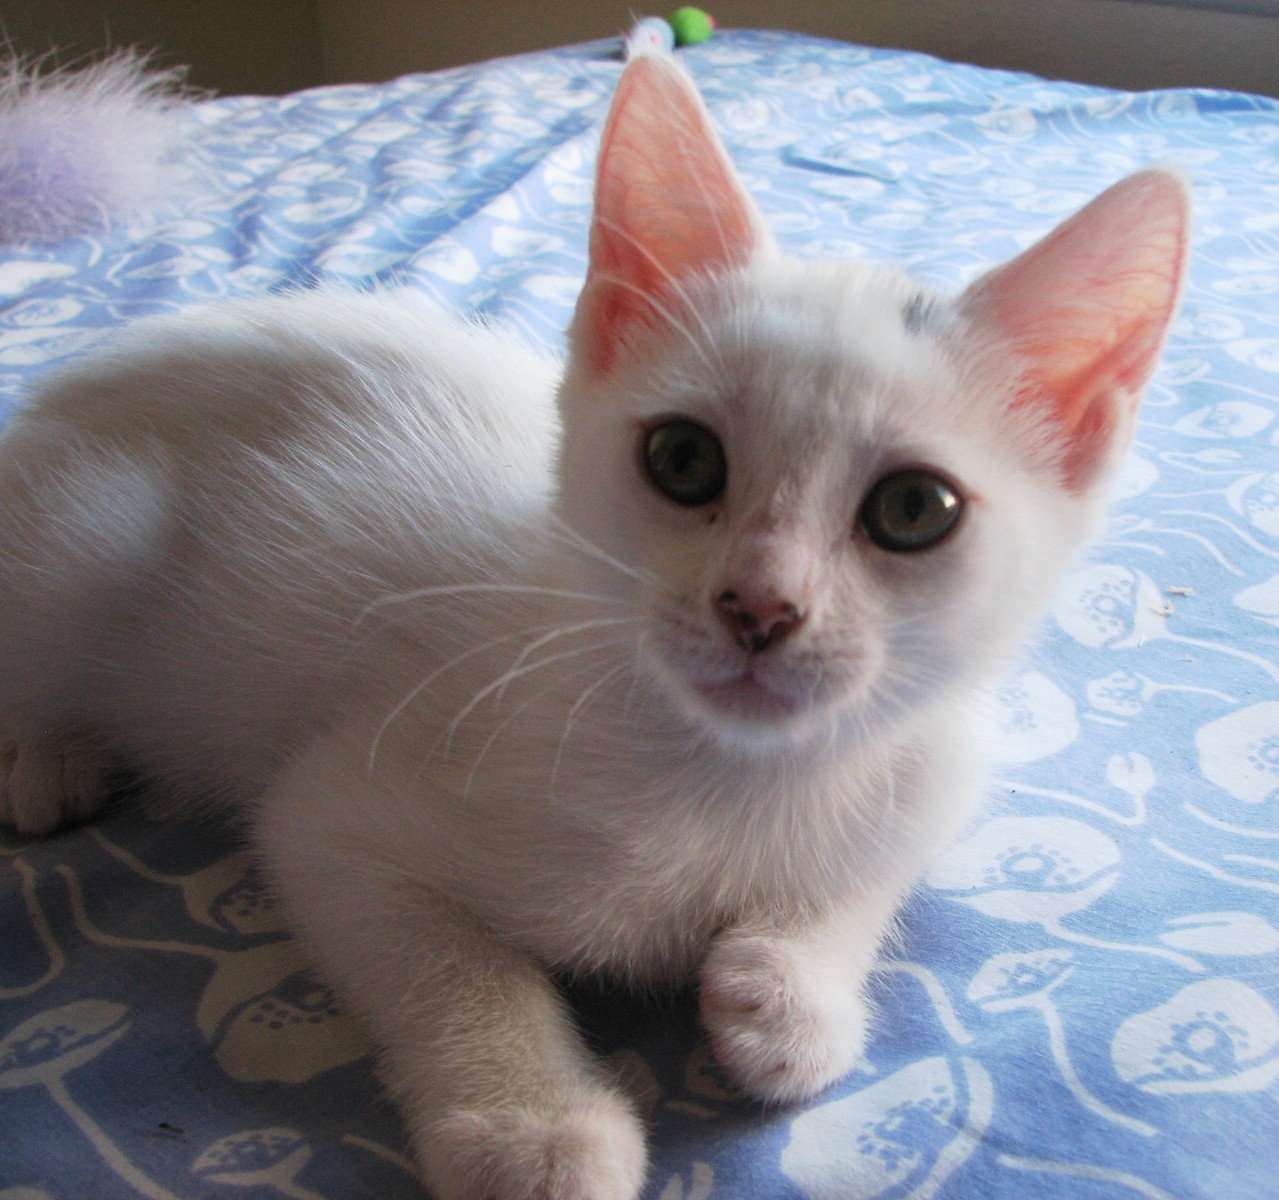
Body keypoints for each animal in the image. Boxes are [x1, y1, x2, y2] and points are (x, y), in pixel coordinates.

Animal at [2, 53, 1186, 1197]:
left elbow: (862, 879)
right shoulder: (332, 816)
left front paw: (789, 995)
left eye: (912, 510)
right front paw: (531, 1124)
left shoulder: (935, 768)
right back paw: (47, 758)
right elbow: (439, 959)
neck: (731, 781)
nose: (760, 605)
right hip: (83, 543)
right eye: (682, 458)